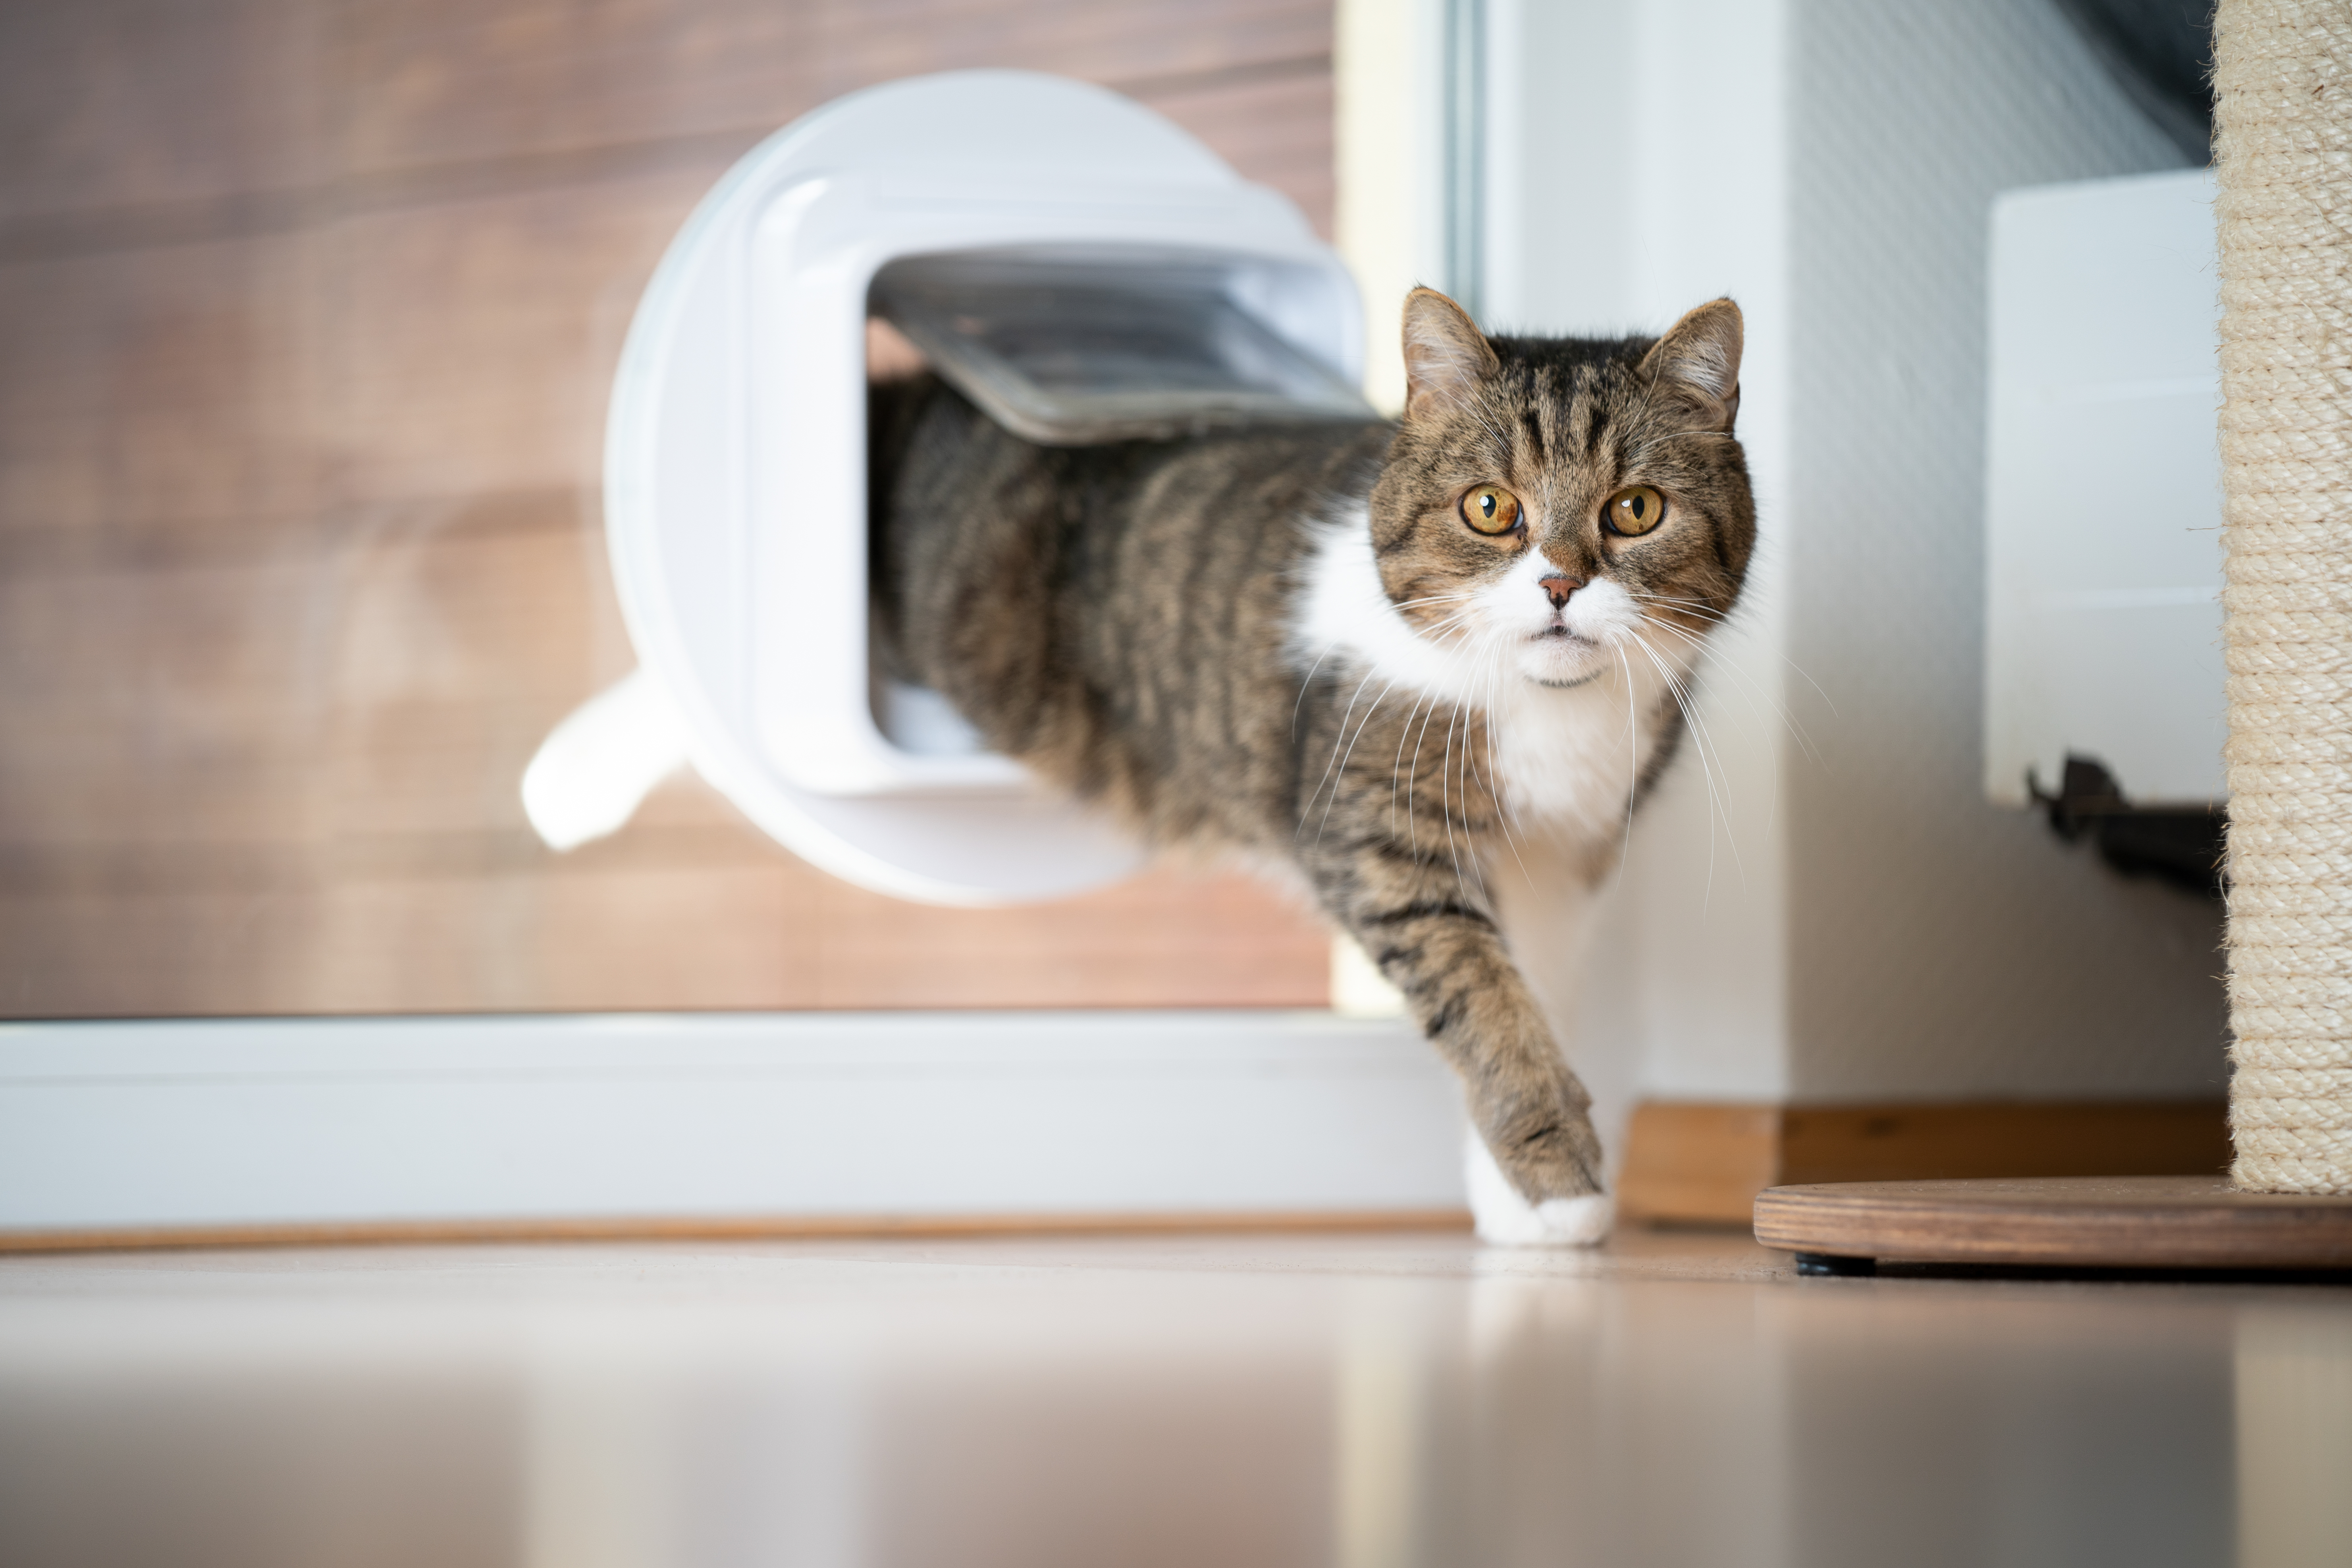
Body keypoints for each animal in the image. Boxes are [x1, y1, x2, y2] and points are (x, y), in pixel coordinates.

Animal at [875, 285, 1759, 1250]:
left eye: (1635, 509)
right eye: (1490, 508)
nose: (1559, 585)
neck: (1547, 709)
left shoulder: (1563, 863)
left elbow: (1535, 994)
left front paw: (1518, 1202)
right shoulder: (1379, 838)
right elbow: (1482, 996)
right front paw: (1557, 1177)